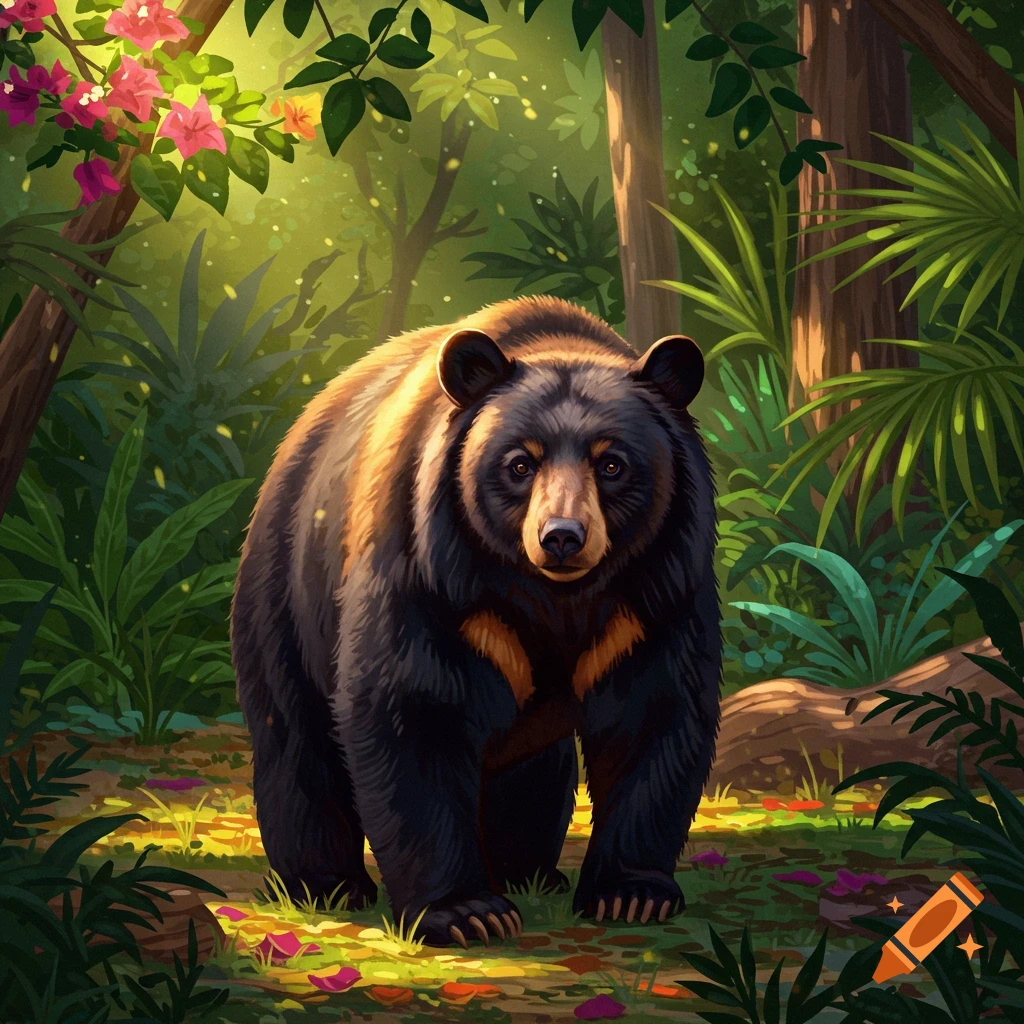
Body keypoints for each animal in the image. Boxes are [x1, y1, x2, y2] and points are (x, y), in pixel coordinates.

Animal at [231, 295, 721, 947]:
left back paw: (528, 873)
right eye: (519, 464)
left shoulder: (658, 587)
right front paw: (466, 913)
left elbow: (655, 710)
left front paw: (631, 895)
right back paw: (324, 885)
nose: (562, 537)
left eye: (613, 463)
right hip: (288, 581)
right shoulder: (431, 565)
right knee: (295, 732)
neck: (556, 594)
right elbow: (414, 706)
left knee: (529, 767)